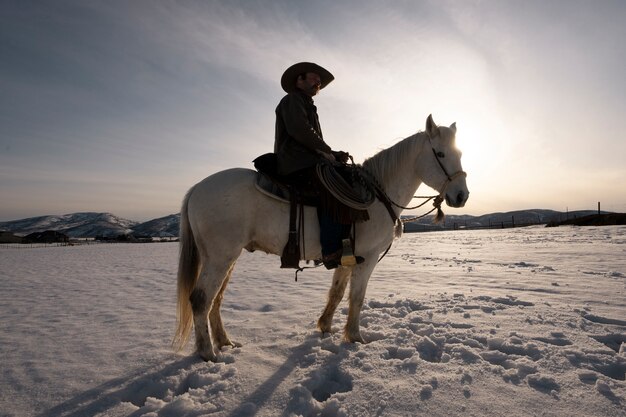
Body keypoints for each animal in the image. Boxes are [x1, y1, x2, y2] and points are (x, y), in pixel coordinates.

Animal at [173, 114, 466, 360]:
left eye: (460, 153)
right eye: (440, 153)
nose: (462, 195)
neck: (377, 195)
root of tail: (196, 188)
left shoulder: (348, 256)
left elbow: (336, 293)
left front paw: (325, 327)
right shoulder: (368, 257)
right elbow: (357, 298)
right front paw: (356, 338)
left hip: (225, 258)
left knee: (216, 300)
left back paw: (225, 342)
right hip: (220, 257)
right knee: (201, 299)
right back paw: (208, 353)